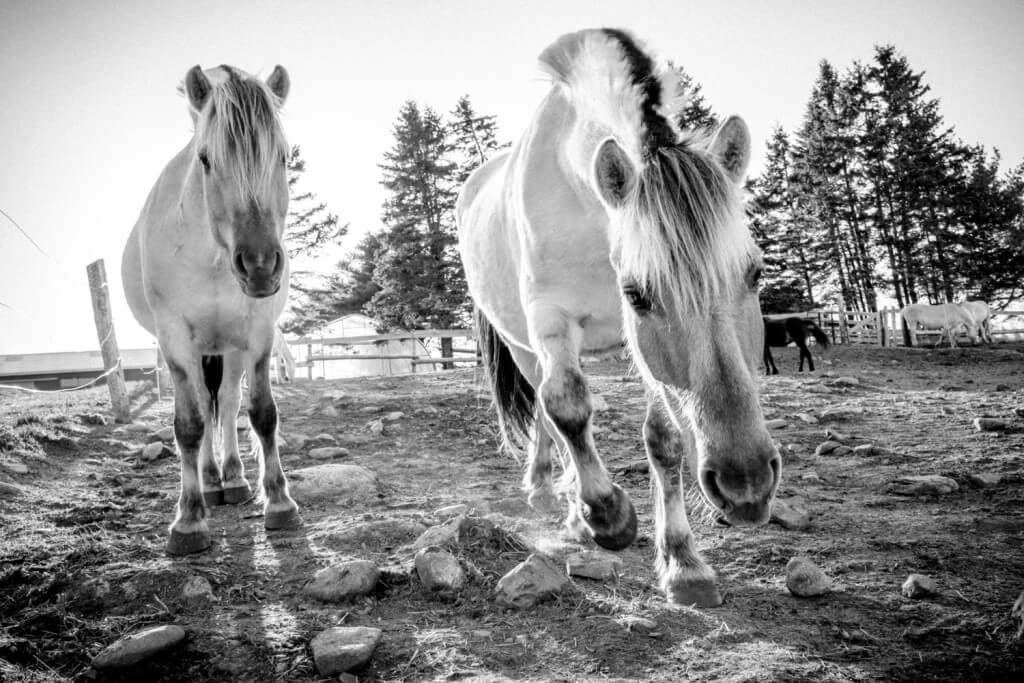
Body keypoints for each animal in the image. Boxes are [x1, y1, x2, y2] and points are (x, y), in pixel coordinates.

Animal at [121, 64, 299, 555]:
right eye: (205, 159)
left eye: (283, 157)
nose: (259, 265)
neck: (215, 257)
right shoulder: (176, 339)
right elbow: (189, 424)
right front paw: (189, 519)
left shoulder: (258, 332)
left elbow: (261, 413)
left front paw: (279, 502)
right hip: (200, 350)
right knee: (204, 404)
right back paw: (208, 479)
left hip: (230, 349)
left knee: (230, 401)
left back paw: (232, 479)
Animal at [456, 29, 778, 607]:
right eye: (637, 293)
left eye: (755, 273)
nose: (745, 484)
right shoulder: (552, 320)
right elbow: (566, 408)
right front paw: (607, 515)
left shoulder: (646, 354)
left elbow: (664, 440)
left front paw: (683, 563)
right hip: (523, 344)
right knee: (546, 410)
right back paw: (555, 496)